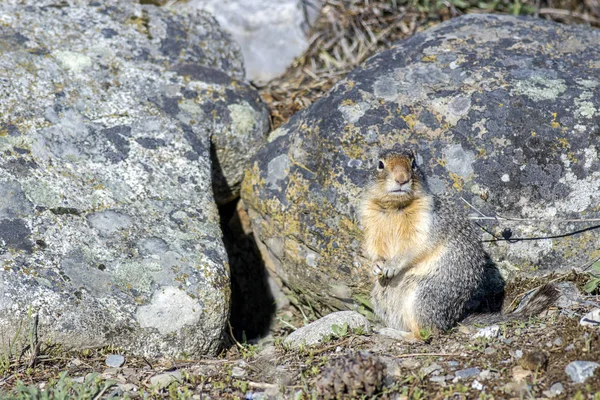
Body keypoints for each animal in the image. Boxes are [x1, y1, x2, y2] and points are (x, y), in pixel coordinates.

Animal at [356, 144, 556, 338]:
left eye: (413, 164)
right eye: (380, 164)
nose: (402, 178)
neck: (395, 207)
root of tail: (452, 321)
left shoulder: (425, 223)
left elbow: (414, 248)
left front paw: (392, 265)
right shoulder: (370, 223)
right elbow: (373, 247)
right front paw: (376, 266)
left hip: (423, 298)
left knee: (427, 334)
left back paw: (394, 333)